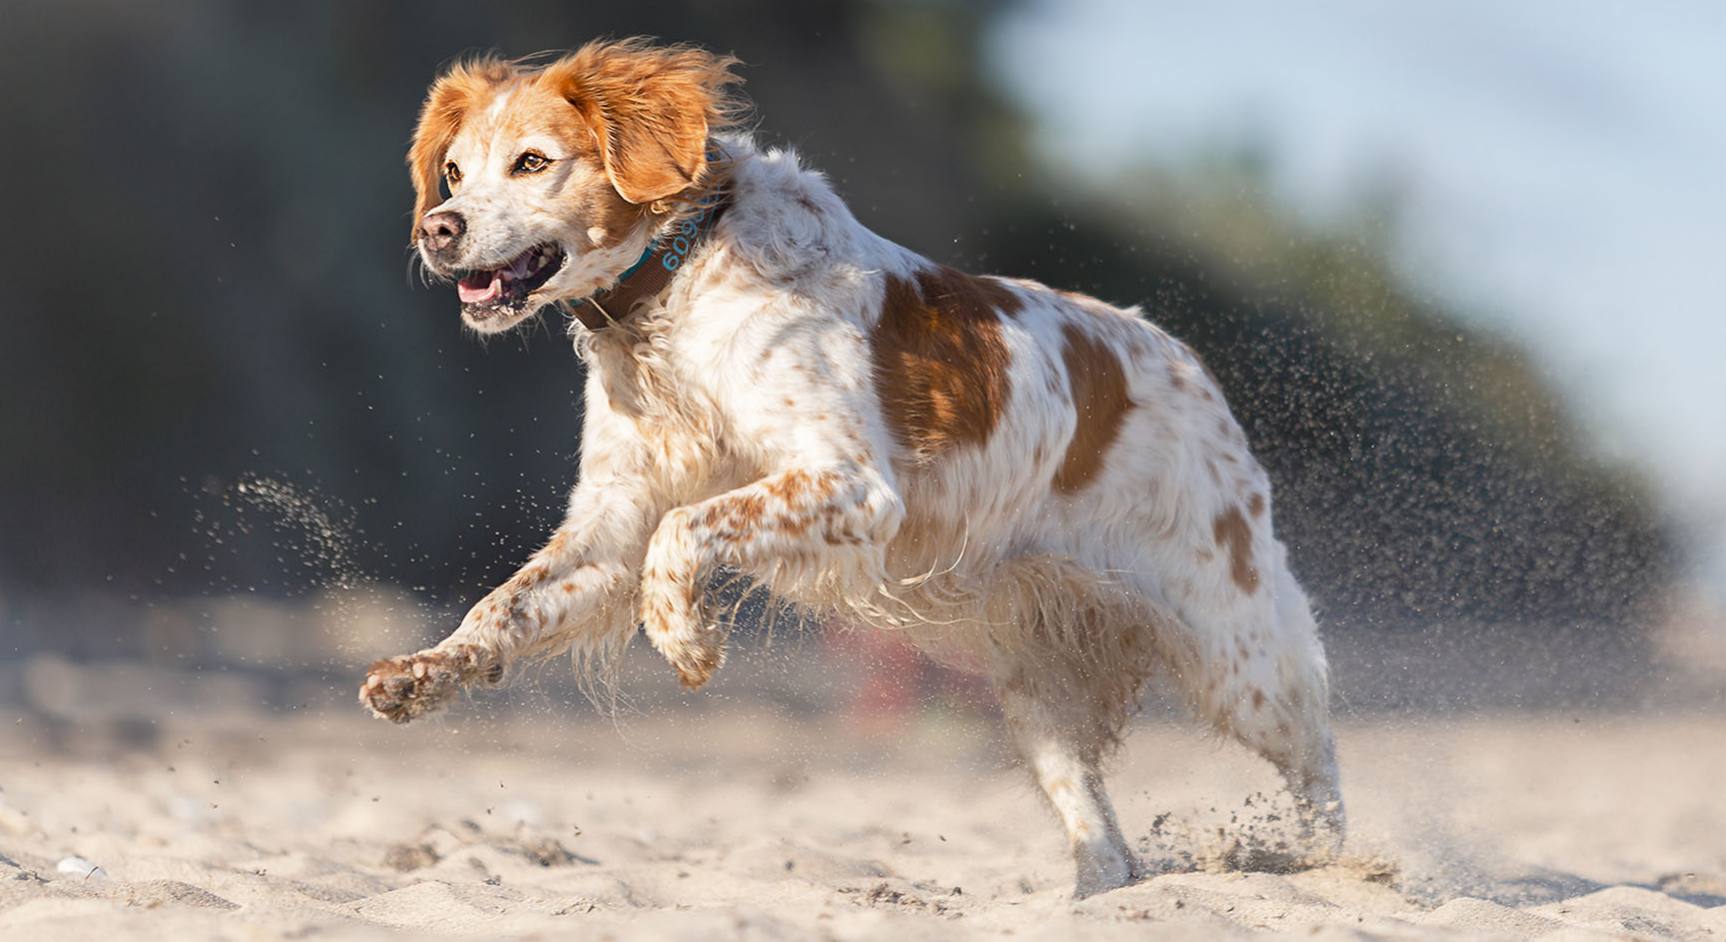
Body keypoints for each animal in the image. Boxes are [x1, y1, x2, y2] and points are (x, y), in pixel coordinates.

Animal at [357, 38, 1339, 897]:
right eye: (454, 174)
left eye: (532, 163)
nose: (438, 231)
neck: (679, 284)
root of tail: (1187, 362)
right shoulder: (611, 519)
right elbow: (507, 602)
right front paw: (423, 671)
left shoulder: (854, 489)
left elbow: (684, 533)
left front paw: (687, 639)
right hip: (1033, 691)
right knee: (1098, 825)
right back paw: (1096, 896)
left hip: (1237, 651)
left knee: (1317, 748)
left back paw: (1334, 863)